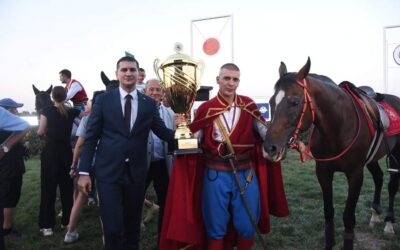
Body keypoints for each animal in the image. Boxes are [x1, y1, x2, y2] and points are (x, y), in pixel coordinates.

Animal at [262, 57, 400, 249]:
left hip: (395, 154)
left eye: (295, 102)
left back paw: (388, 222)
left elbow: (348, 218)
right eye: (271, 102)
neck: (339, 125)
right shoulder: (323, 172)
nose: (270, 148)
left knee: (392, 185)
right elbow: (328, 212)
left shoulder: (355, 174)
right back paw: (375, 216)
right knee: (379, 177)